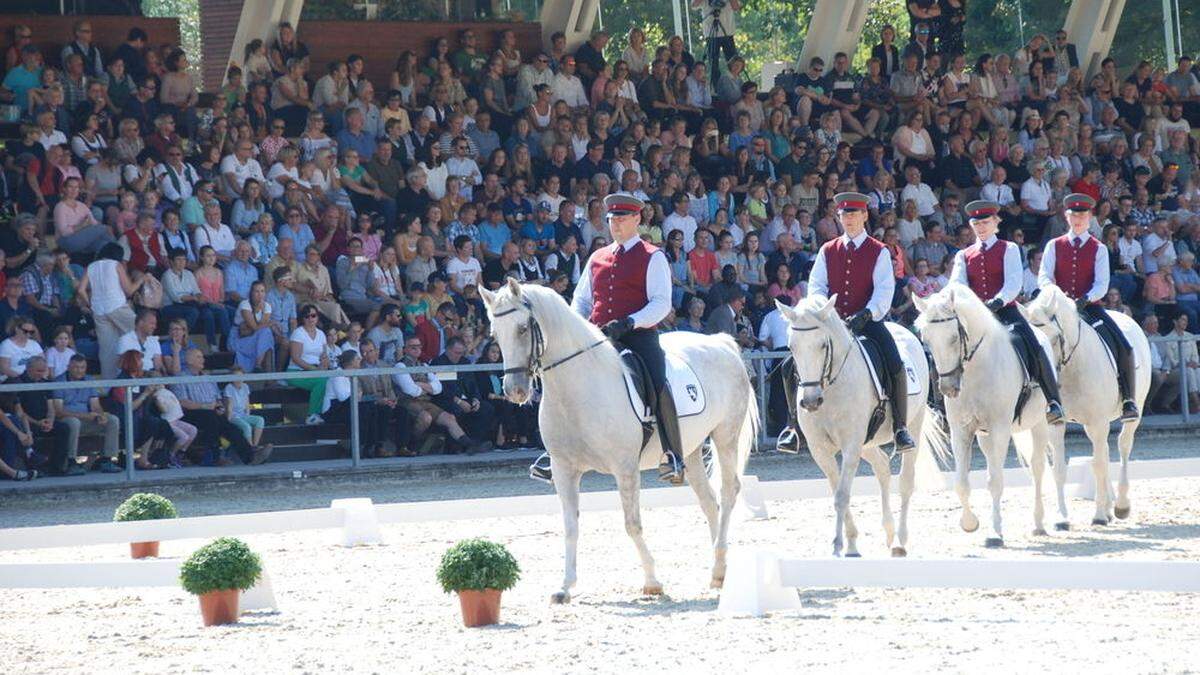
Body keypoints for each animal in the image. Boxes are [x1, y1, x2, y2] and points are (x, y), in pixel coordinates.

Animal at [475, 278, 748, 598]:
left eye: (521, 328)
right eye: (495, 335)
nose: (515, 391)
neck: (577, 389)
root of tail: (721, 343)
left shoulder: (625, 468)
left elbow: (632, 524)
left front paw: (652, 582)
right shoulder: (563, 469)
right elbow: (570, 525)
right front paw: (565, 587)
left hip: (726, 436)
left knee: (728, 492)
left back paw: (718, 566)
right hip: (691, 452)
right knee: (708, 501)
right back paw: (718, 572)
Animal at [772, 295, 940, 557]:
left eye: (823, 345)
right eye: (792, 346)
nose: (810, 402)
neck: (830, 388)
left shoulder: (851, 445)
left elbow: (842, 495)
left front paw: (840, 545)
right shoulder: (820, 450)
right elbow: (836, 491)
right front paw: (850, 542)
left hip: (914, 422)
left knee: (906, 480)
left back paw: (900, 540)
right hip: (867, 443)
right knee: (882, 466)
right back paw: (889, 532)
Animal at [916, 282, 1070, 540]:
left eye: (953, 338)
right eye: (926, 339)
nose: (948, 388)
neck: (976, 370)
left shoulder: (1000, 429)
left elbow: (995, 481)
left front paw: (995, 534)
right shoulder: (961, 430)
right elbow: (961, 482)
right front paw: (970, 524)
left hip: (1041, 423)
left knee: (1040, 467)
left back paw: (1047, 521)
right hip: (985, 435)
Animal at [1022, 283, 1152, 526]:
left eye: (1055, 337)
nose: (1046, 378)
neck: (1072, 367)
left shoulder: (1098, 421)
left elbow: (1098, 464)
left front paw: (1099, 516)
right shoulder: (1058, 422)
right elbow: (1060, 469)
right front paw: (1062, 518)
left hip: (1132, 411)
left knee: (1123, 446)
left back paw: (1120, 506)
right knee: (1106, 451)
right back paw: (1109, 508)